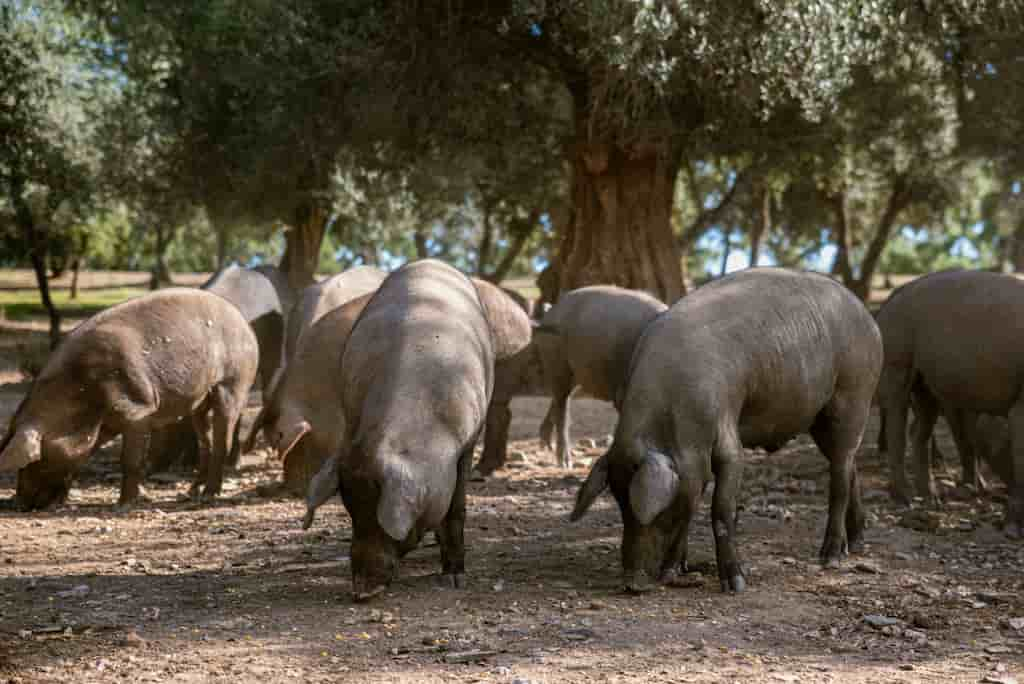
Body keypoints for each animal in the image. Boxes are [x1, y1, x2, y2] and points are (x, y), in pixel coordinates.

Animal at [1, 288, 256, 507]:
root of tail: (246, 326)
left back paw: (210, 494)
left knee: (223, 435)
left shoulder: (140, 407)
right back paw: (191, 492)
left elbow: (131, 460)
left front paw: (126, 503)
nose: (20, 503)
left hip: (234, 381)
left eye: (35, 461)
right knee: (205, 439)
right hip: (200, 402)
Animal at [303, 259, 491, 602]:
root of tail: (432, 261)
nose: (361, 591)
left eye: (380, 518)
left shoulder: (467, 443)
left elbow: (456, 509)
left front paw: (454, 577)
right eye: (351, 512)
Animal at [532, 284, 667, 471]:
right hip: (555, 351)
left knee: (564, 394)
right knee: (562, 399)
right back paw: (564, 463)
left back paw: (544, 444)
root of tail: (550, 313)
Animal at [569, 266, 880, 593]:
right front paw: (674, 572)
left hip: (854, 394)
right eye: (620, 506)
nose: (631, 583)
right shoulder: (694, 466)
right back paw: (856, 544)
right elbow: (692, 505)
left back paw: (830, 558)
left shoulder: (727, 434)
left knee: (840, 476)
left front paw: (736, 584)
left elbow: (721, 509)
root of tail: (868, 318)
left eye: (657, 512)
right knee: (849, 467)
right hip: (819, 419)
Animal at [872, 266, 1024, 532]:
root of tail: (894, 296)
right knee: (897, 414)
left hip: (927, 380)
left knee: (921, 423)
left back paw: (931, 498)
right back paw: (904, 498)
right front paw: (1012, 527)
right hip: (898, 347)